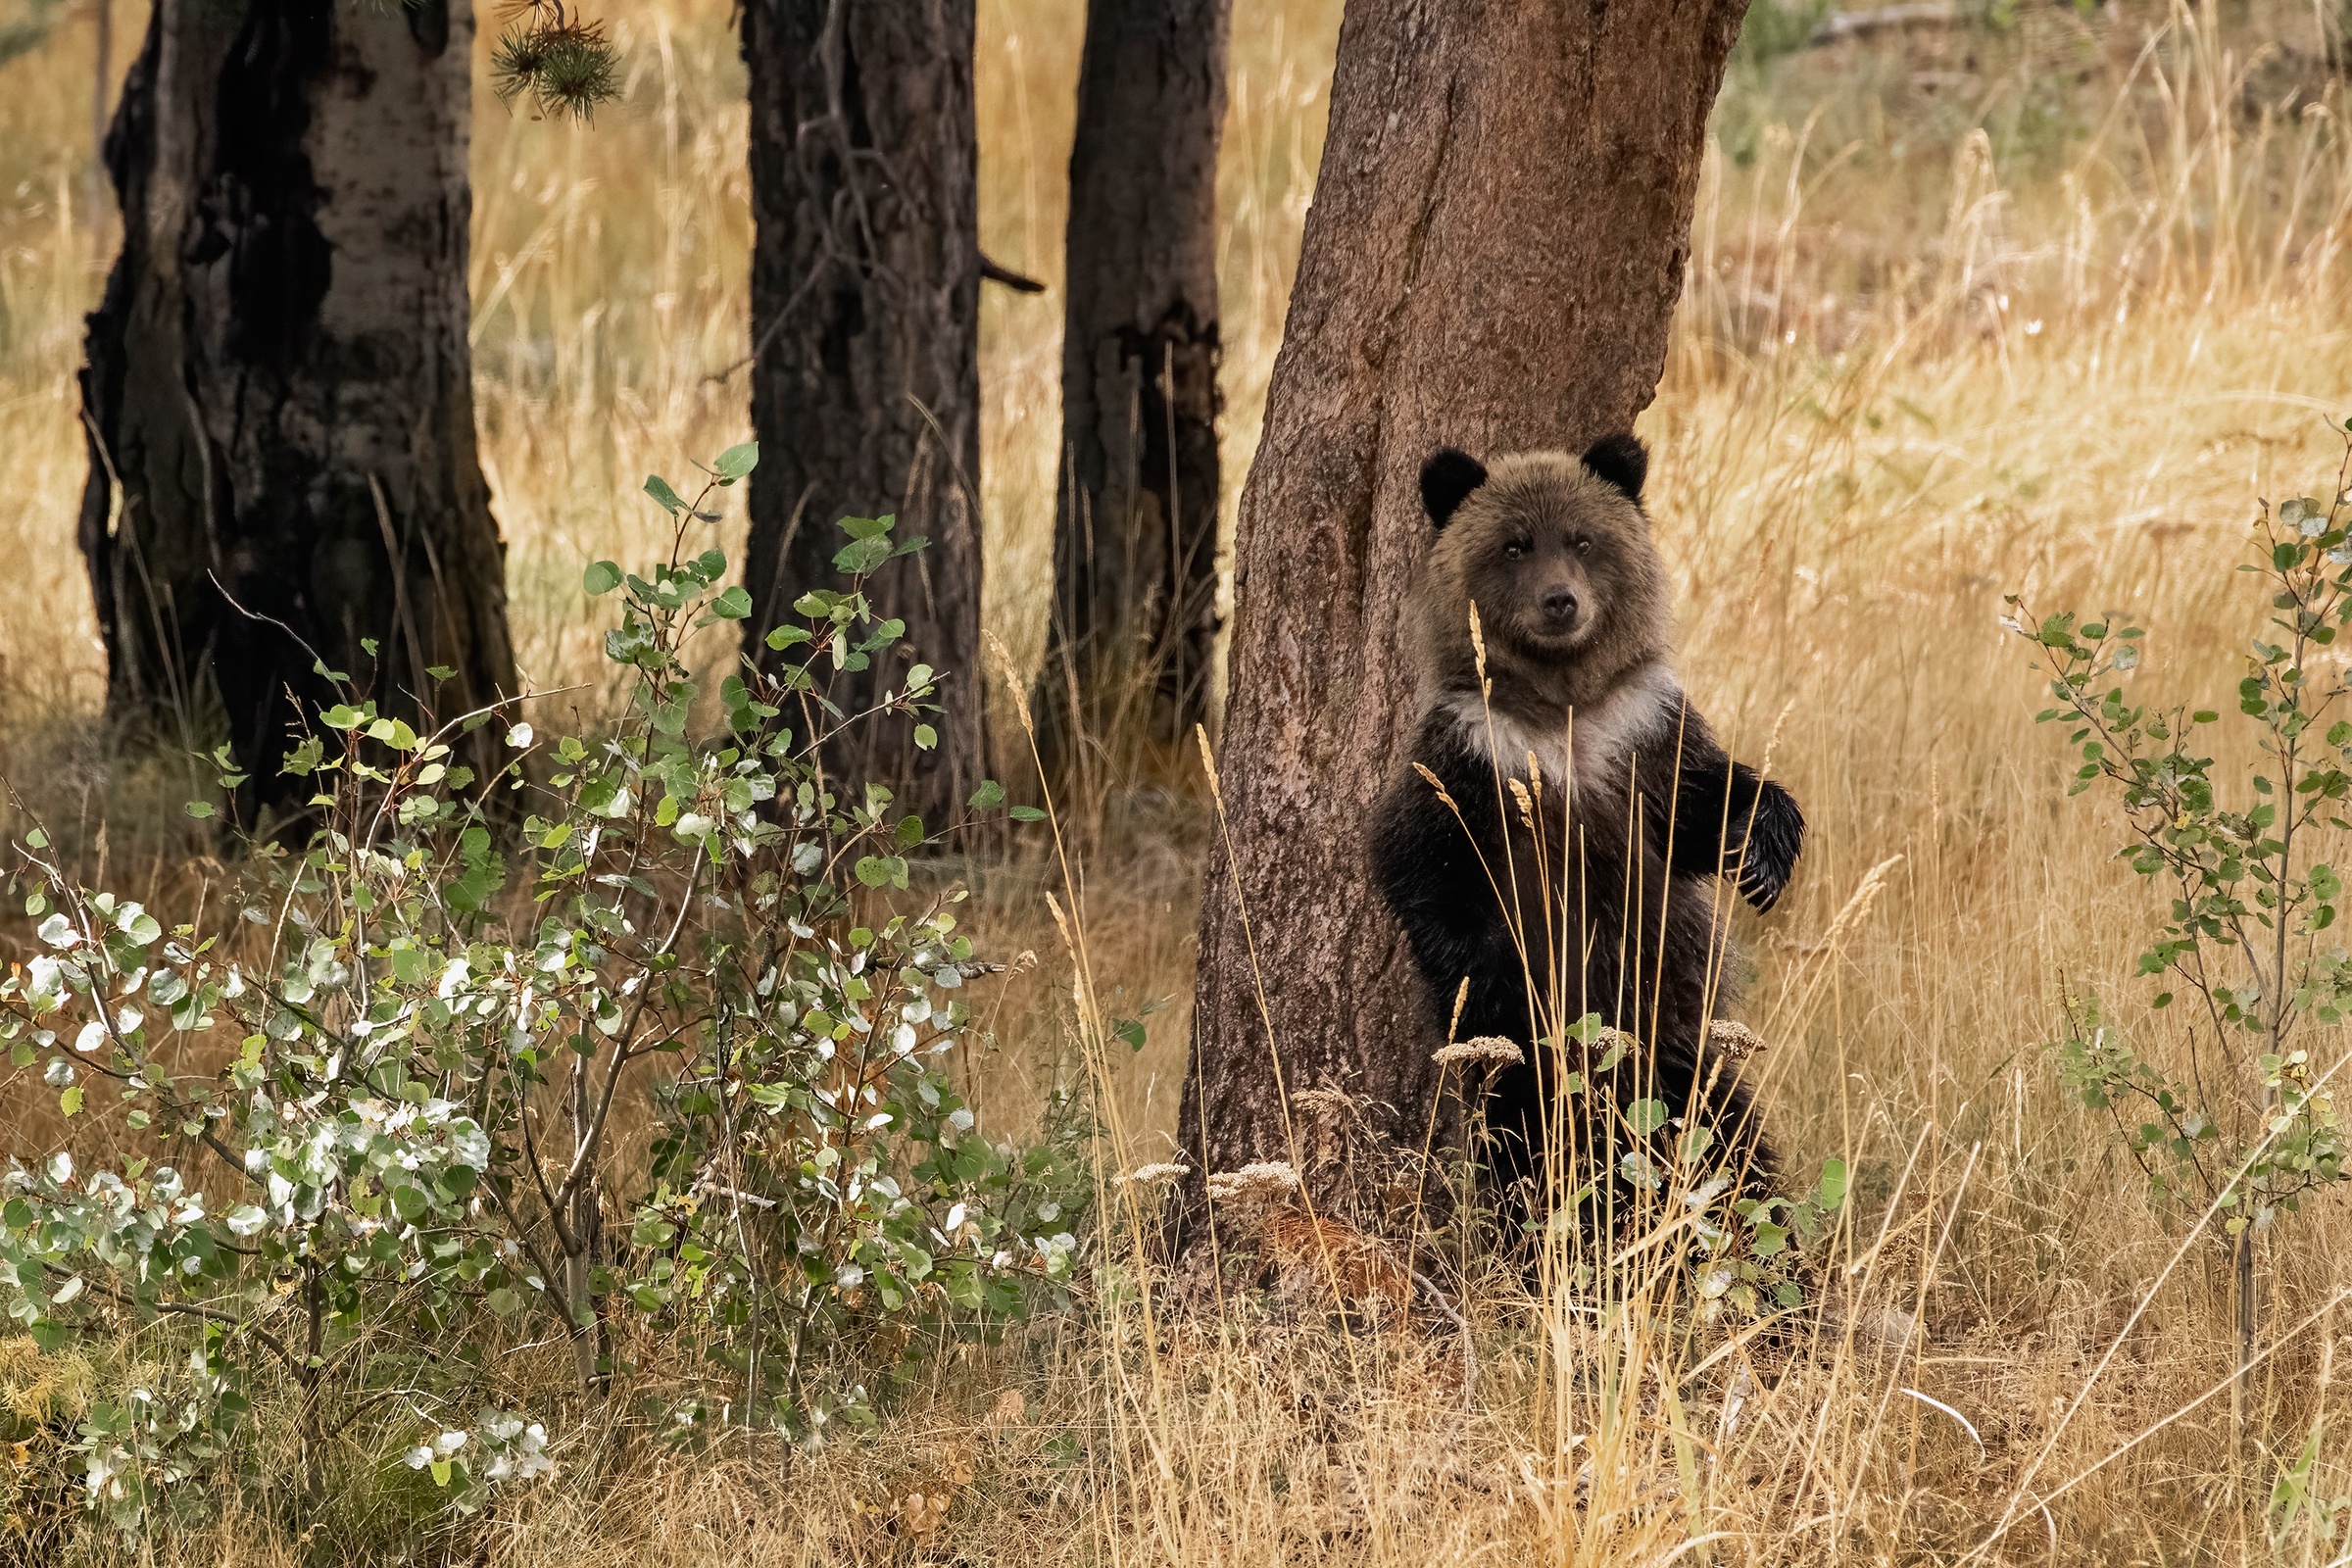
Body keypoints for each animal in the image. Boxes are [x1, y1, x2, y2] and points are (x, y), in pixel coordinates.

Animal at [1367, 433, 1804, 1238]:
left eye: (1581, 538)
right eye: (1514, 543)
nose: (1559, 600)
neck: (1562, 710)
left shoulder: (1642, 734)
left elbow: (1704, 798)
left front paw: (1760, 852)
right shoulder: (1470, 756)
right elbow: (1421, 866)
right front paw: (1485, 970)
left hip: (1676, 1044)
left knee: (1728, 1129)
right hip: (1538, 1087)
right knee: (1520, 1147)